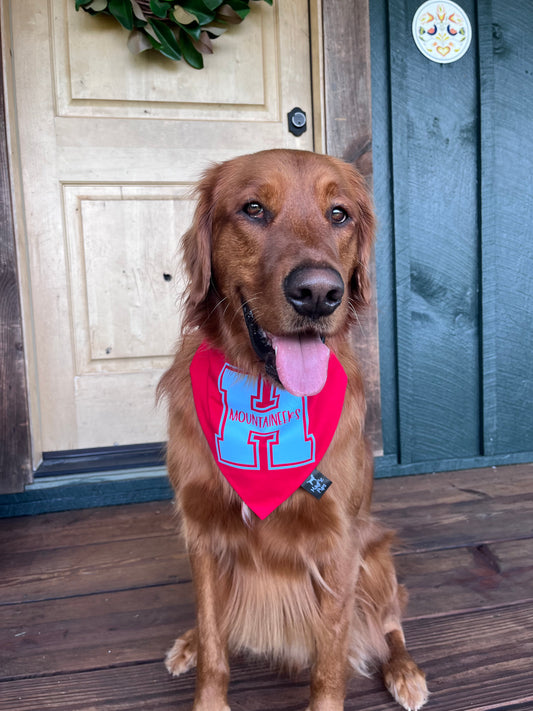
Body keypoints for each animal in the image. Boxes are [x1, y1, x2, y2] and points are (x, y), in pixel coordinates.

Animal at [159, 147, 428, 708]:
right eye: (254, 209)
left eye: (339, 214)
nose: (319, 293)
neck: (265, 389)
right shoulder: (202, 531)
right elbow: (214, 642)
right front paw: (206, 683)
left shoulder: (340, 545)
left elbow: (330, 659)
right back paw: (187, 642)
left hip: (377, 555)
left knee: (391, 623)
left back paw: (405, 671)